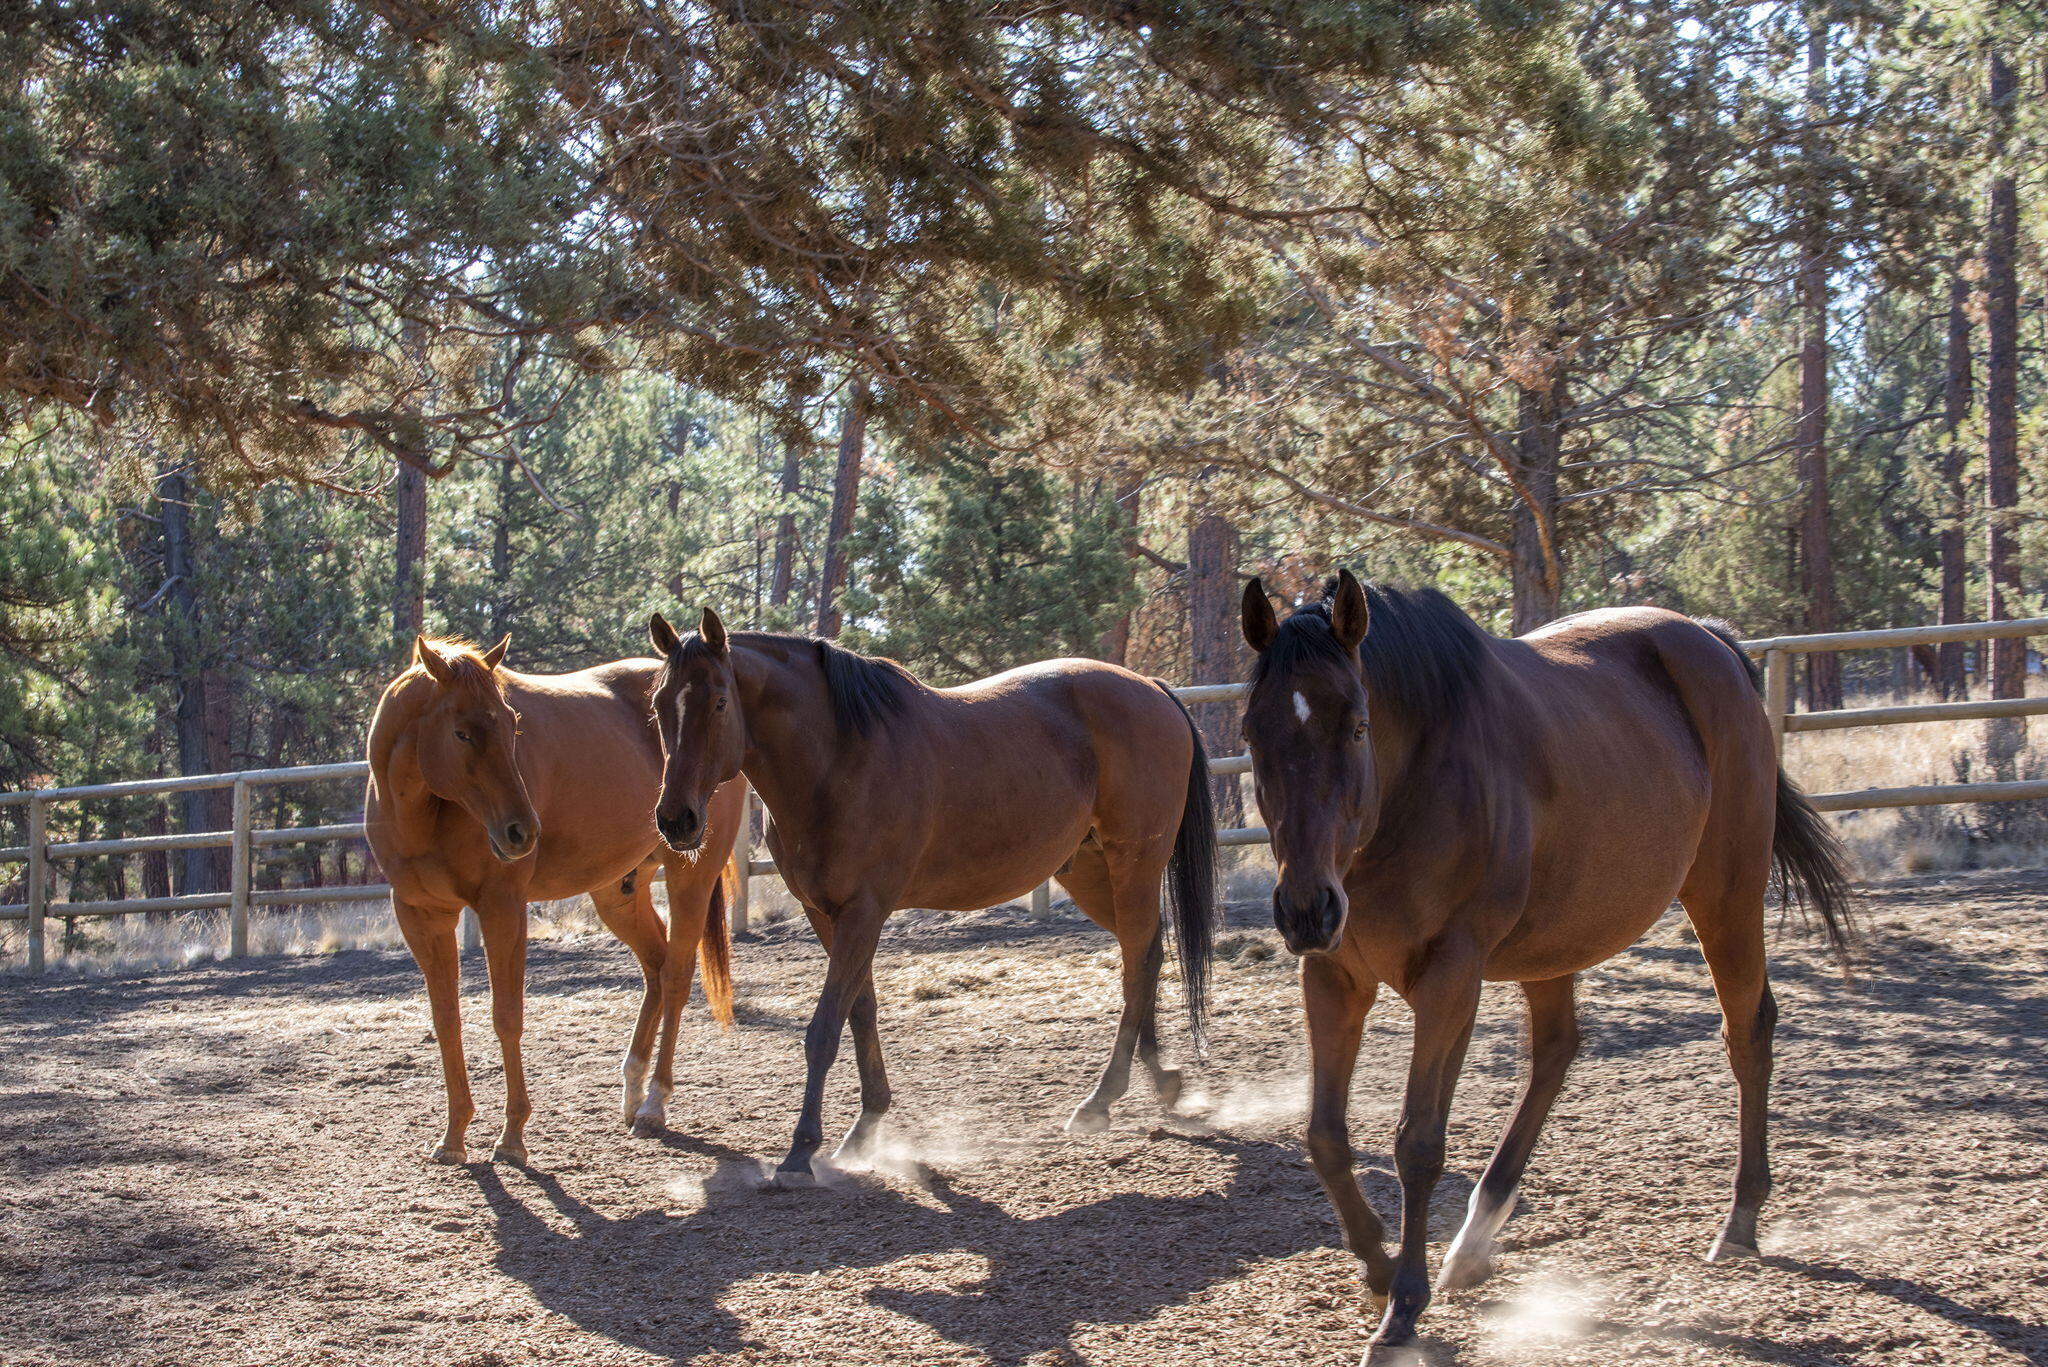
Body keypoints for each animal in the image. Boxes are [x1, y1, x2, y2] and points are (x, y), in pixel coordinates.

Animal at [364, 635, 746, 1164]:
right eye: (462, 733)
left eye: (512, 722)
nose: (522, 831)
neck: (421, 812)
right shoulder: (422, 916)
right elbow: (446, 1021)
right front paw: (454, 1136)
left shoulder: (502, 907)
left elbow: (507, 1017)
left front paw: (512, 1137)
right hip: (617, 893)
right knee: (655, 965)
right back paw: (632, 1088)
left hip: (690, 875)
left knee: (675, 975)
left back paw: (654, 1103)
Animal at [642, 607, 1218, 1184]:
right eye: (659, 705)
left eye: (719, 701)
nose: (676, 820)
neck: (840, 757)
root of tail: (1152, 689)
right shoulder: (825, 914)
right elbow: (861, 1010)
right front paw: (865, 1127)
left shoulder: (864, 913)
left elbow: (824, 1029)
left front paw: (802, 1151)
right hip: (1095, 876)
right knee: (1145, 955)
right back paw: (1160, 1081)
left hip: (1134, 868)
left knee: (1138, 964)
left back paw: (1102, 1099)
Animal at [1237, 571, 1854, 1362]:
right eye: (1252, 733)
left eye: (1358, 726)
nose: (1306, 908)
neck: (1415, 784)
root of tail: (1709, 640)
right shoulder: (1334, 978)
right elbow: (1324, 1136)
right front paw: (1377, 1268)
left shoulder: (1450, 978)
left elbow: (1418, 1143)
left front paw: (1403, 1309)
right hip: (1556, 943)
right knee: (1558, 1050)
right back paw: (1474, 1240)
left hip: (1727, 895)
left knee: (1746, 1030)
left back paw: (1740, 1221)